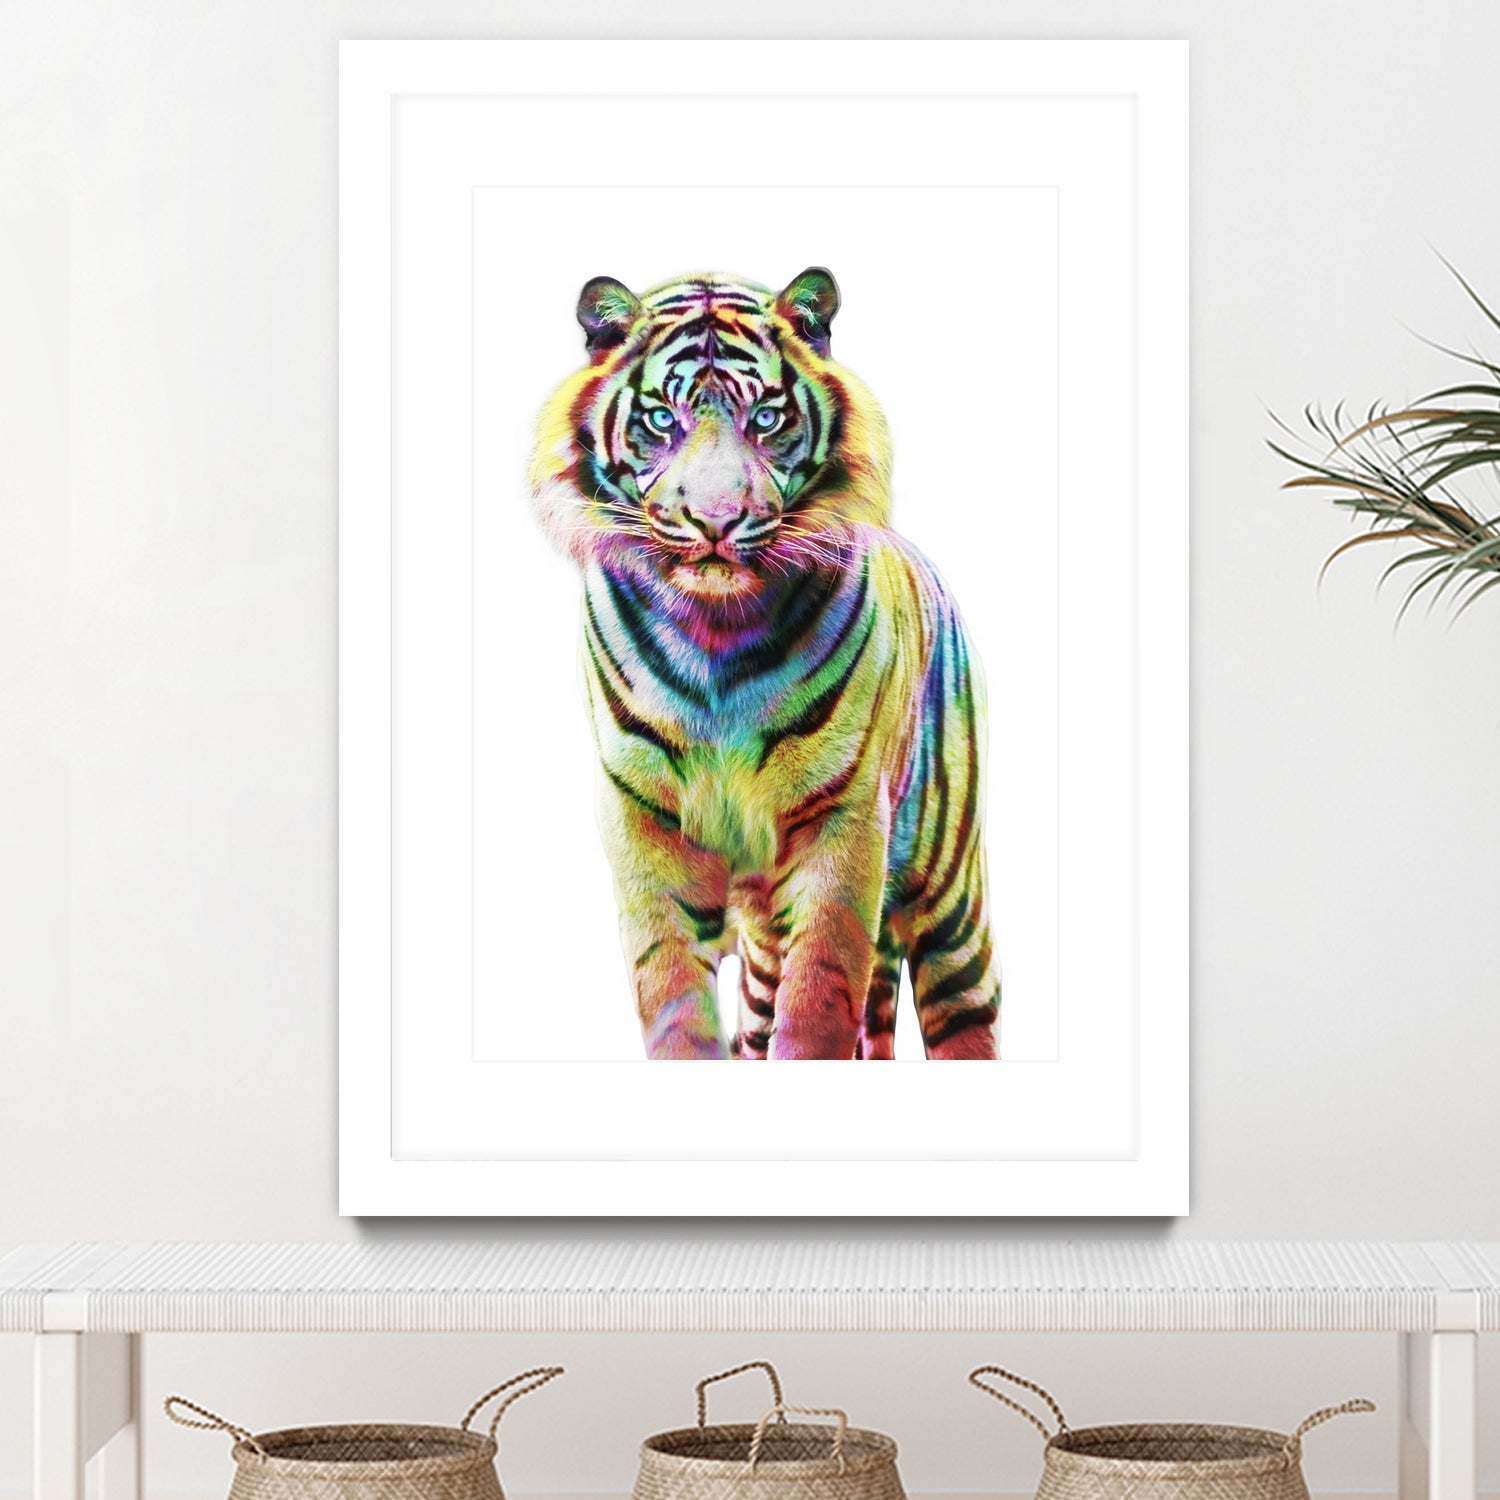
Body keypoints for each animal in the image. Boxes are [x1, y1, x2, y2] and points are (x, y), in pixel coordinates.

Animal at [528, 267, 999, 1060]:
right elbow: (672, 998)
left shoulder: (842, 821)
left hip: (950, 900)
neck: (715, 635)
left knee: (965, 1013)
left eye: (768, 419)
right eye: (662, 420)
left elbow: (818, 1003)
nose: (716, 521)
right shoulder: (642, 820)